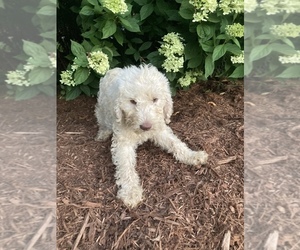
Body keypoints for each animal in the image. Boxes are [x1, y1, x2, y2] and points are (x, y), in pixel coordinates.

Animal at [95, 64, 207, 207]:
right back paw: (102, 134)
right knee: (102, 120)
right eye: (132, 101)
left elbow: (176, 144)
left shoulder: (159, 129)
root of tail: (113, 70)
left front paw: (193, 156)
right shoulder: (123, 142)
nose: (146, 127)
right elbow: (126, 166)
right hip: (102, 108)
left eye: (155, 99)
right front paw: (131, 192)